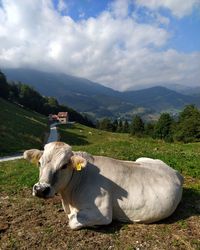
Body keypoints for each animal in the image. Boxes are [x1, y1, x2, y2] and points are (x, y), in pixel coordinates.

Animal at [23, 142, 184, 229]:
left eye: (63, 166)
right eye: (39, 163)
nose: (41, 189)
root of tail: (176, 172)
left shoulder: (103, 213)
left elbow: (73, 220)